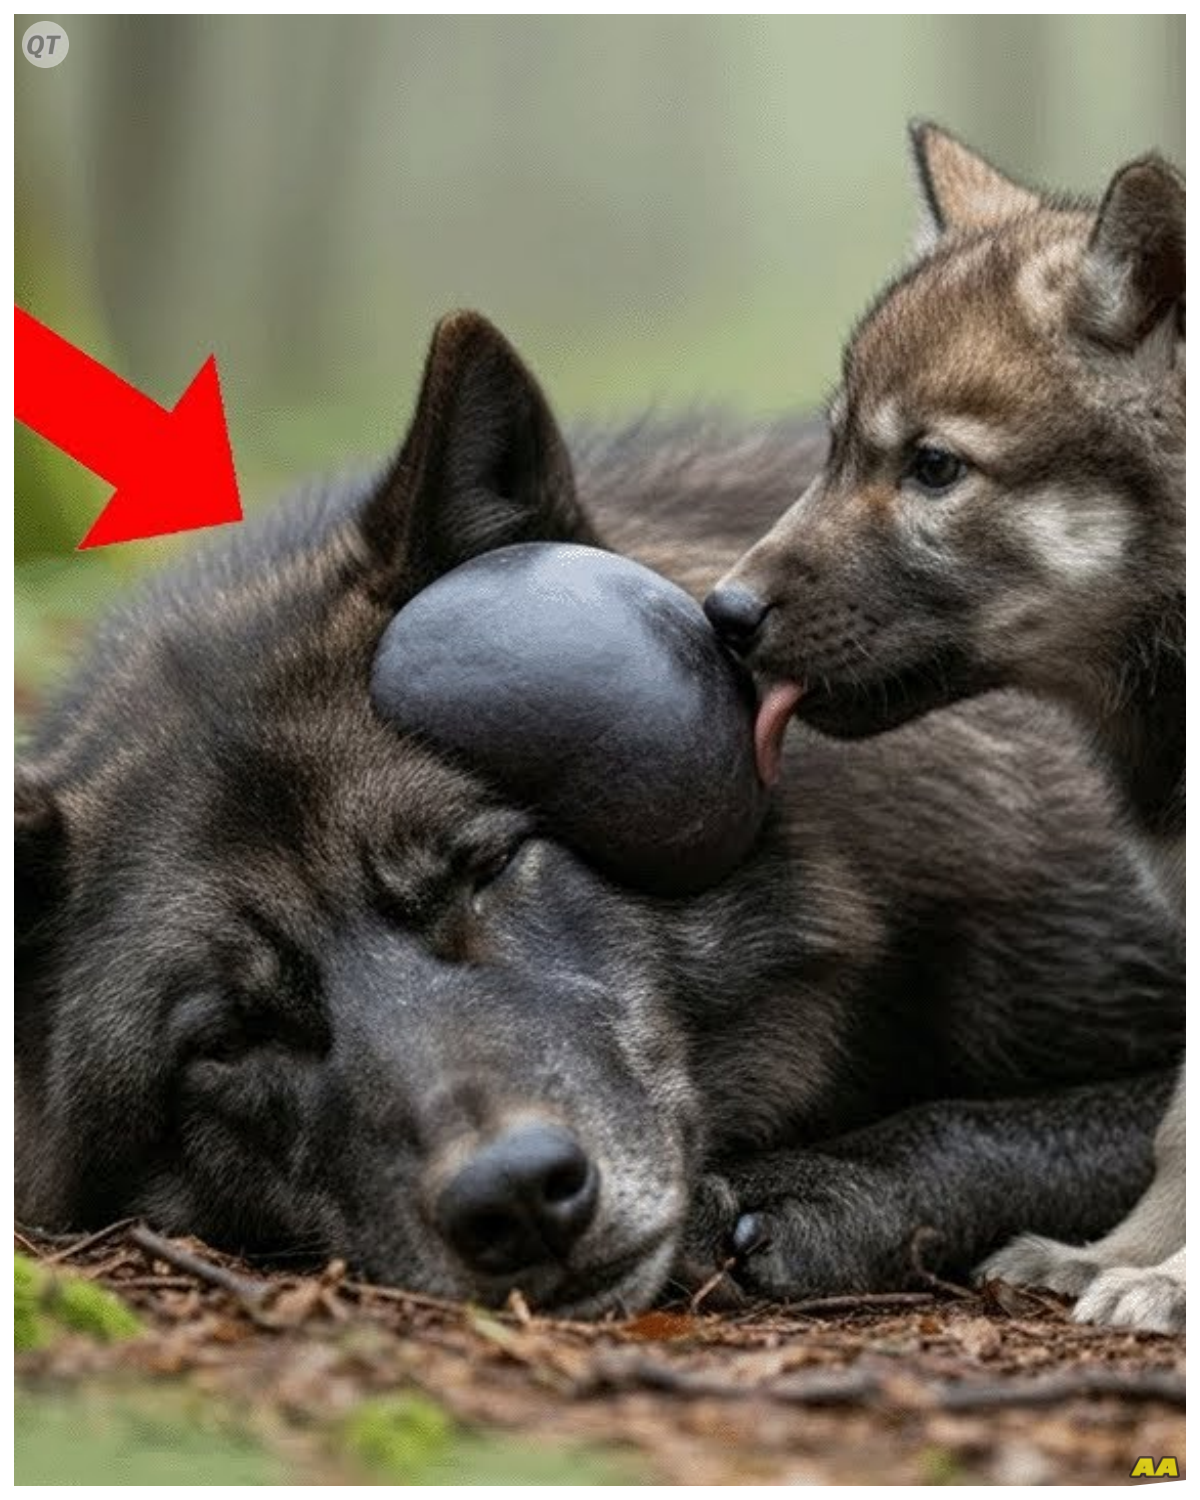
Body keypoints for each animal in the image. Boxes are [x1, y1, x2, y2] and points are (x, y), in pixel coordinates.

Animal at [706, 127, 1185, 1331]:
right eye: (832, 451)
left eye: (932, 467)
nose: (722, 614)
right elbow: (1176, 1128)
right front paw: (1109, 1259)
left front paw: (1164, 1281)